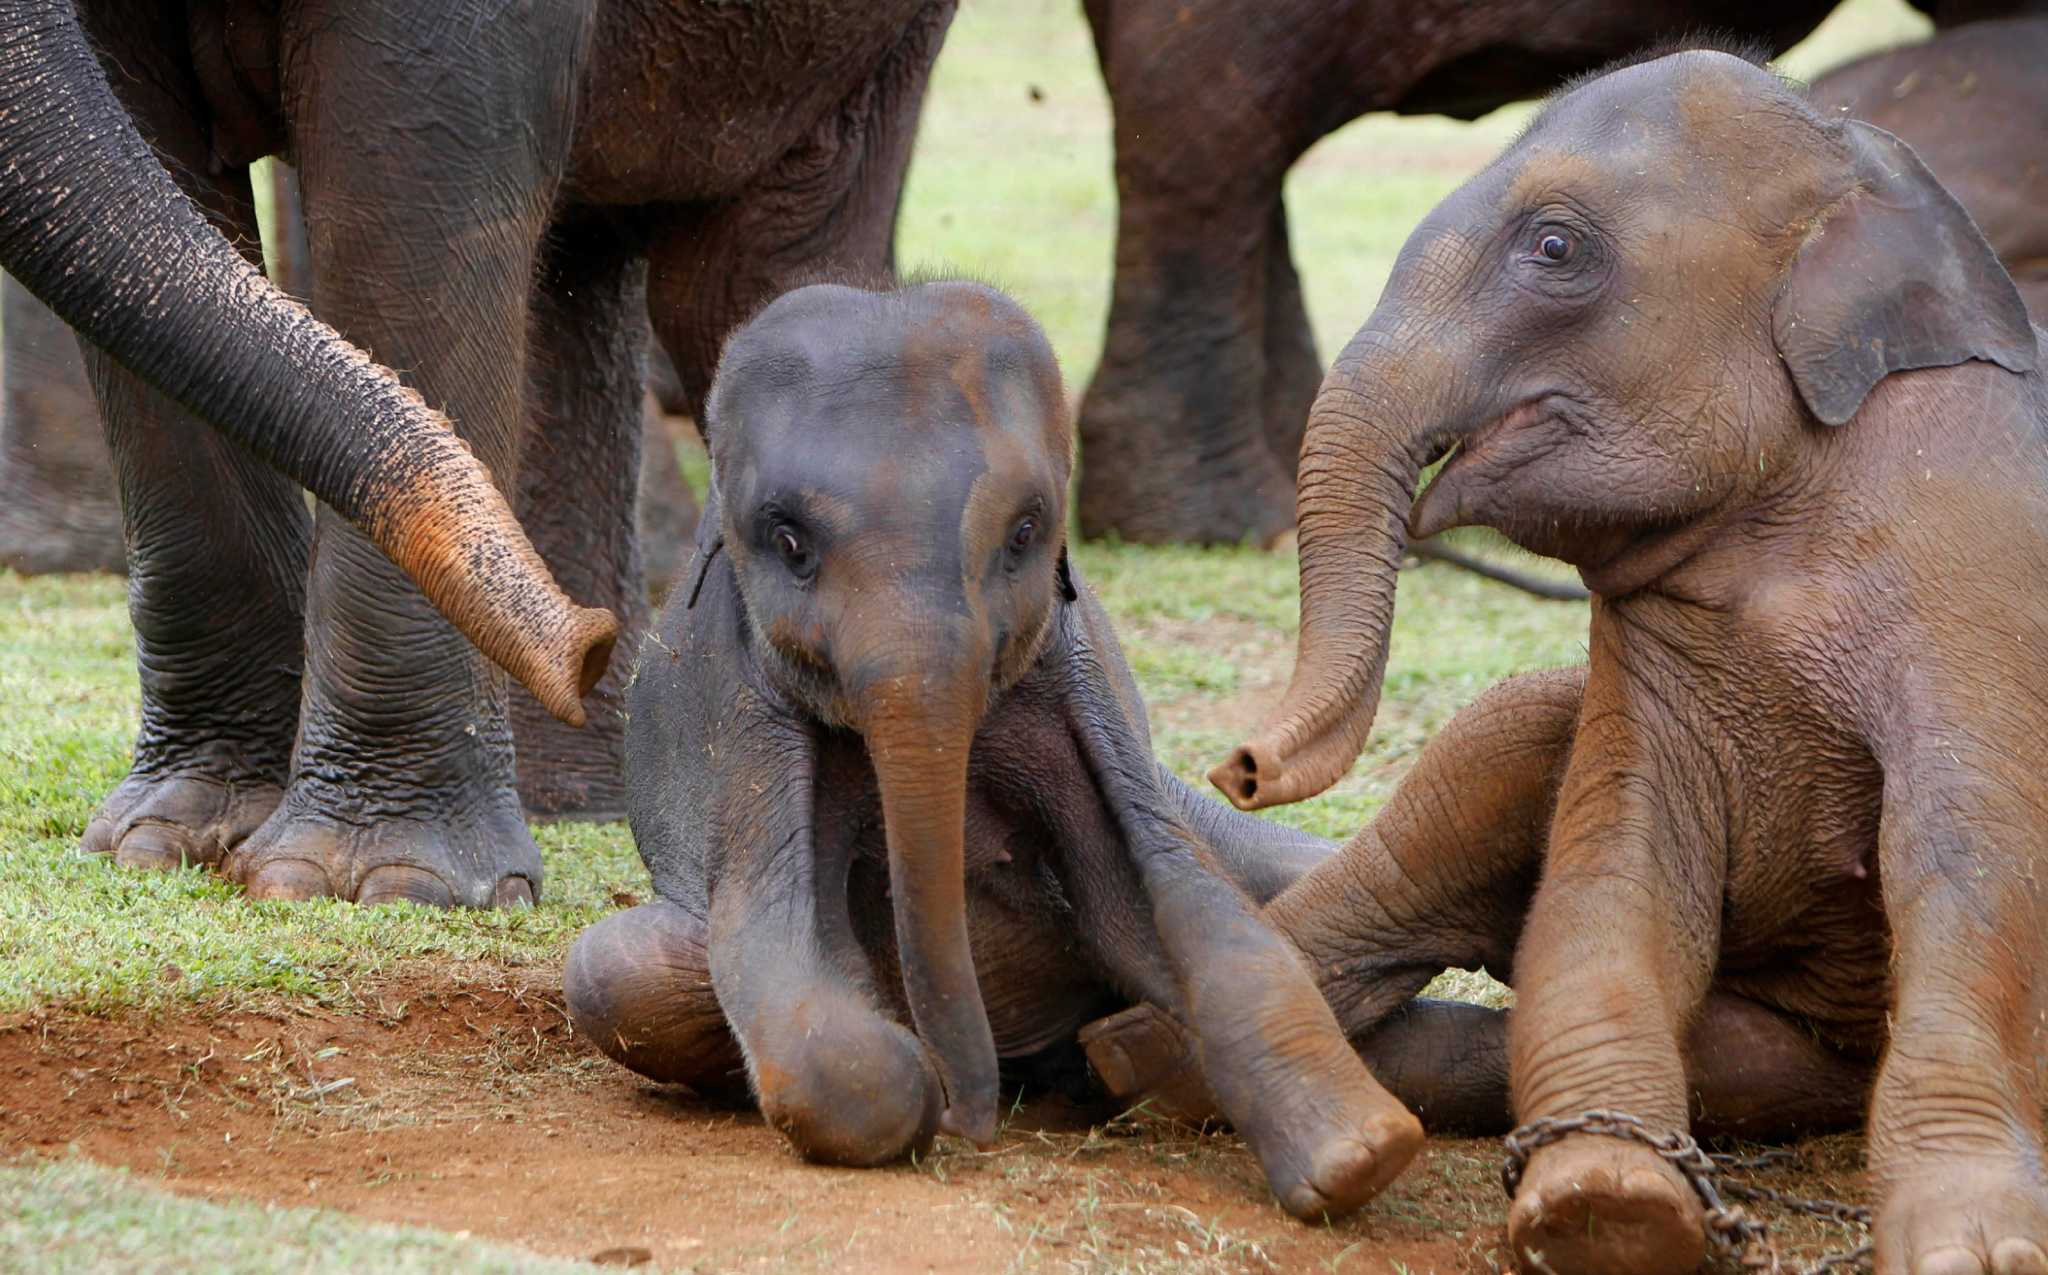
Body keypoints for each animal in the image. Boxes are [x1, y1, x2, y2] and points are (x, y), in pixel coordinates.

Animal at [0, 0, 953, 903]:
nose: (585, 645)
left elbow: (409, 203)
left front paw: (369, 881)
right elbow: (159, 138)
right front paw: (167, 842)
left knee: (751, 267)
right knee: (587, 257)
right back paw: (572, 793)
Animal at [563, 279, 1444, 1221]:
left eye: (1025, 532)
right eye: (790, 541)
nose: (971, 1120)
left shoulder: (1074, 680)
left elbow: (1172, 895)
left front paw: (1362, 1156)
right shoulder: (744, 715)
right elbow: (777, 943)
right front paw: (915, 1085)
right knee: (617, 966)